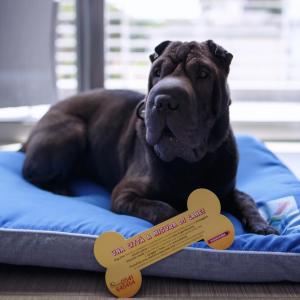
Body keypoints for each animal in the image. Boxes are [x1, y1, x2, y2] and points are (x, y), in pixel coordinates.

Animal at [22, 40, 278, 234]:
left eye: (203, 74)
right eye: (157, 72)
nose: (164, 100)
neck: (188, 163)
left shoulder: (226, 189)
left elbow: (246, 199)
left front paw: (262, 225)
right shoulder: (124, 193)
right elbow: (164, 209)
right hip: (73, 130)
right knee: (30, 174)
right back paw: (61, 189)